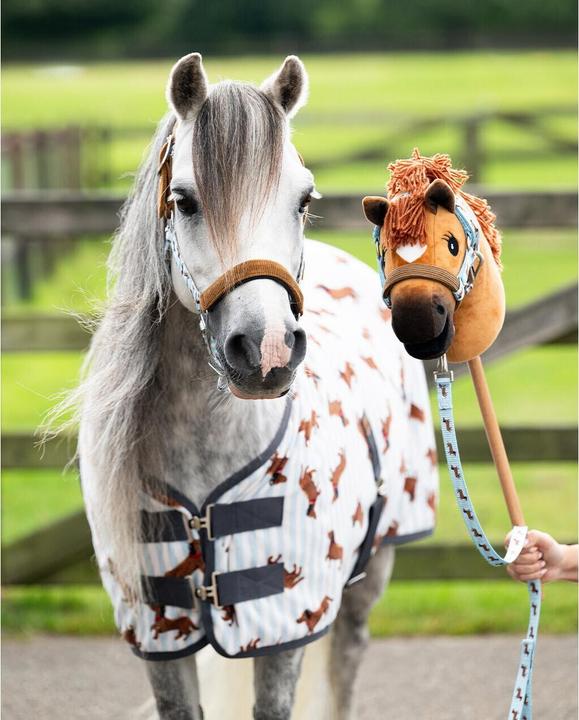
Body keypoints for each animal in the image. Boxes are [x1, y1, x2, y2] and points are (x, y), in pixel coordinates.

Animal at [74, 55, 438, 719]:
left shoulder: (284, 623)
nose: (266, 351)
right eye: (184, 200)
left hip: (372, 569)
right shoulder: (159, 630)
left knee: (347, 660)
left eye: (304, 198)